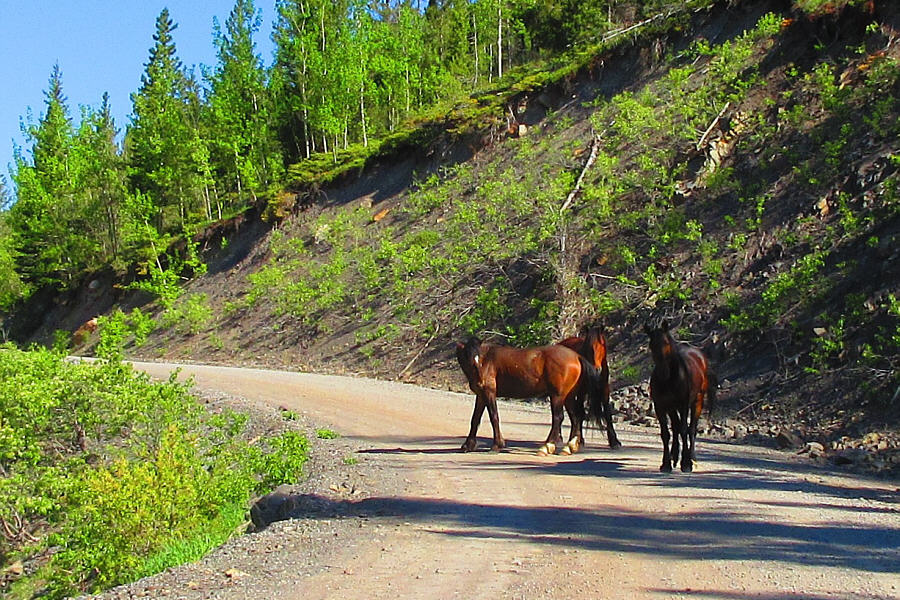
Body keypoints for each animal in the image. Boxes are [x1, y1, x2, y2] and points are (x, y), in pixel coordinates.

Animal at [454, 338, 616, 454]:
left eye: (478, 357)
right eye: (467, 357)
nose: (481, 380)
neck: (486, 361)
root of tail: (577, 356)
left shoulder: (489, 393)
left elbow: (494, 417)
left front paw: (497, 445)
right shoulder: (481, 396)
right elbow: (475, 419)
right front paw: (468, 445)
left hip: (558, 396)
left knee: (559, 418)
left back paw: (547, 446)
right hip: (568, 397)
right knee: (576, 418)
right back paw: (569, 447)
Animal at [648, 322, 716, 472]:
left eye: (666, 342)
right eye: (651, 344)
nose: (663, 372)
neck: (670, 378)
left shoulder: (683, 405)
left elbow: (685, 430)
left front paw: (686, 463)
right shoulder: (660, 406)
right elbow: (666, 433)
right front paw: (666, 464)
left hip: (697, 402)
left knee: (691, 429)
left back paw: (692, 458)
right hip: (672, 408)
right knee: (676, 427)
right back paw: (674, 457)